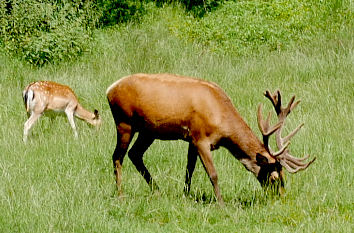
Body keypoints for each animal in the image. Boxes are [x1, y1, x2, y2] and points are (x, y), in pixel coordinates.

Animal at [106, 73, 316, 204]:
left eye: (284, 177)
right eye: (274, 178)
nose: (280, 197)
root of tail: (109, 89)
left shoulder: (191, 138)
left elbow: (189, 170)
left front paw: (186, 195)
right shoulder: (201, 138)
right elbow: (213, 174)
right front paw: (221, 204)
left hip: (148, 131)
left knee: (135, 154)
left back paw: (157, 190)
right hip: (124, 122)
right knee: (117, 156)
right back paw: (121, 195)